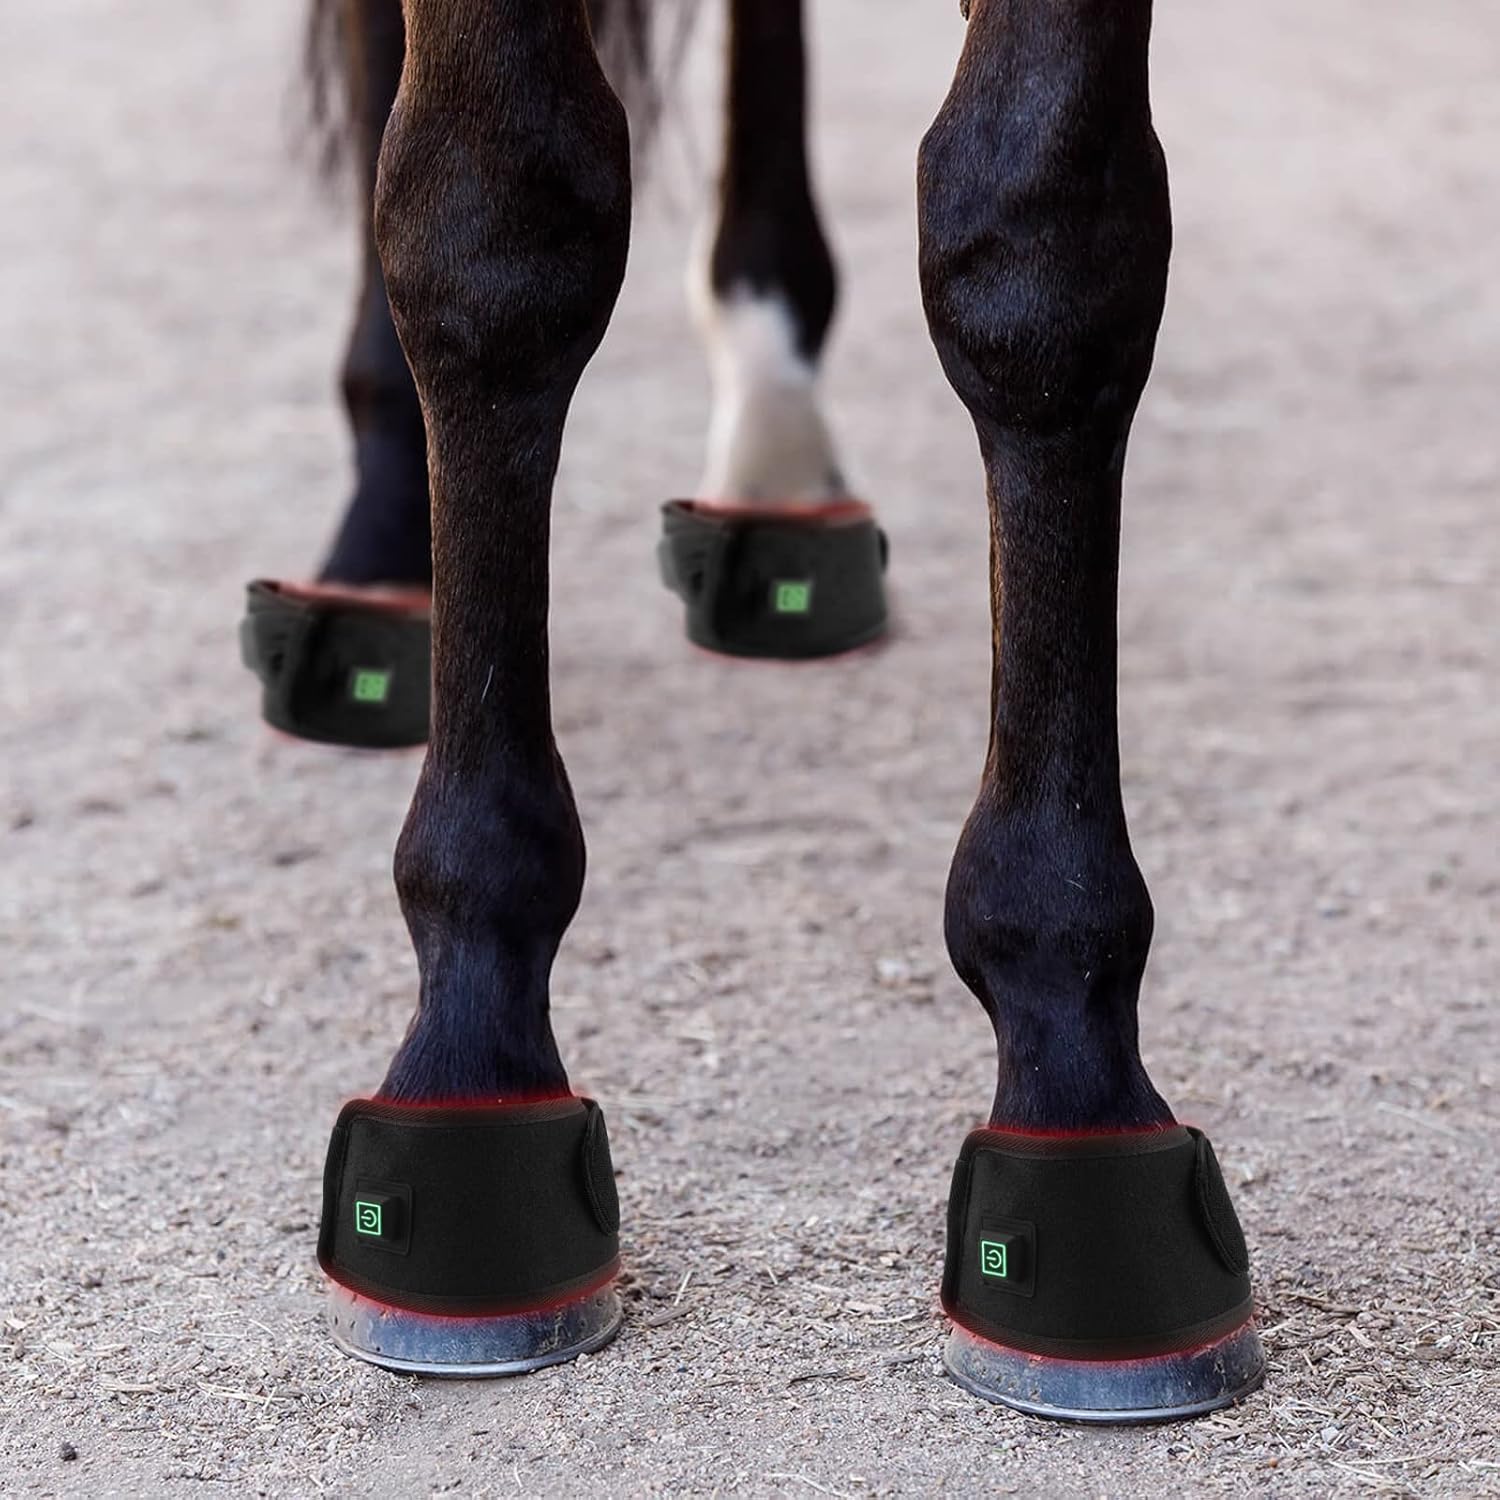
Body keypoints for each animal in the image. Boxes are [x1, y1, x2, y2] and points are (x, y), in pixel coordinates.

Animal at [260, 0, 1265, 1422]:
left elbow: (1045, 251)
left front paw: (1073, 1067)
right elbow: (493, 224)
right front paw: (468, 1049)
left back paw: (779, 466)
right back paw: (380, 548)